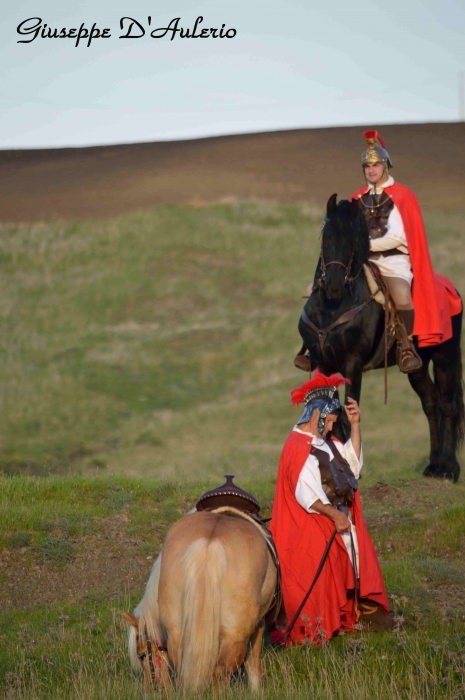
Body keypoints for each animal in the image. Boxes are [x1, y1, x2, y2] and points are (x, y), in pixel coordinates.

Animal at [121, 508, 278, 696]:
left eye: (143, 654)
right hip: (234, 637)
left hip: (178, 632)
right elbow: (253, 665)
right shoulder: (258, 624)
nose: (147, 689)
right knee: (221, 674)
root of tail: (210, 541)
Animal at [300, 194, 462, 484]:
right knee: (431, 404)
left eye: (351, 240)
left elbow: (347, 413)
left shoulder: (352, 365)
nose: (333, 285)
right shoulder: (323, 364)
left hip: (447, 356)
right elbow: (329, 413)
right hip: (418, 366)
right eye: (327, 237)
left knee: (449, 405)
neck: (332, 308)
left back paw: (448, 469)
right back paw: (433, 467)